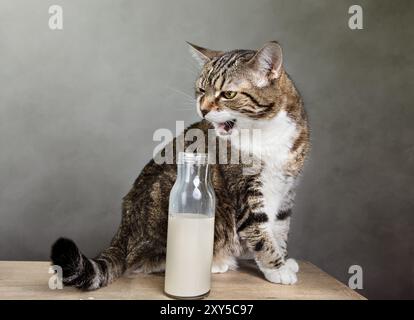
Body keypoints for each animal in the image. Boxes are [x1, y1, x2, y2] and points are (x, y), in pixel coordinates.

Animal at [50, 40, 308, 290]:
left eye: (228, 94)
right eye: (201, 90)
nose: (202, 109)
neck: (266, 132)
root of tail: (123, 231)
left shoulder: (288, 186)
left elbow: (280, 226)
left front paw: (283, 260)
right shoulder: (243, 188)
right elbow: (259, 231)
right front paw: (276, 268)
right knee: (143, 262)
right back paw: (216, 262)